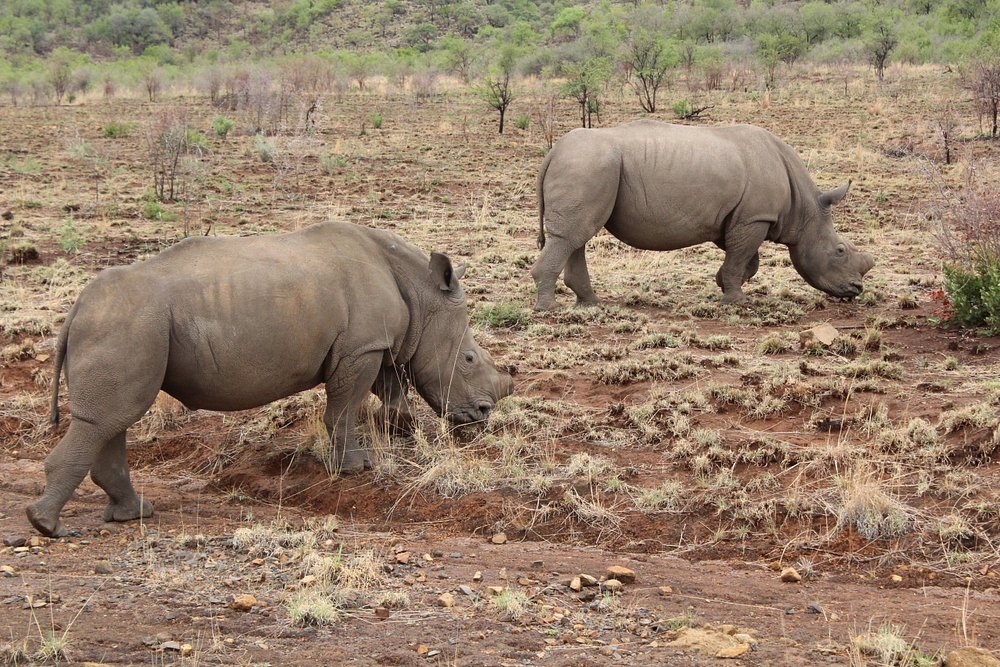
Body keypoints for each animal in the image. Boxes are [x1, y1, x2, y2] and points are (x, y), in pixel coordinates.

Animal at [27, 222, 514, 537]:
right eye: (469, 358)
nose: (483, 416)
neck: (420, 291)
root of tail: (75, 310)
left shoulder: (377, 346)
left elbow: (392, 392)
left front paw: (403, 438)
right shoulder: (361, 348)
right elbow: (344, 407)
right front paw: (356, 468)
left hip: (126, 324)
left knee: (112, 420)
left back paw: (133, 515)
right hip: (128, 322)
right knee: (109, 419)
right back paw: (48, 526)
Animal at [531, 120, 875, 309]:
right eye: (840, 251)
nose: (856, 290)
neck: (804, 208)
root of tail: (553, 152)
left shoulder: (738, 217)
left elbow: (745, 259)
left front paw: (723, 283)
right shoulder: (754, 217)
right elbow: (741, 258)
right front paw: (738, 301)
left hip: (586, 166)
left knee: (576, 236)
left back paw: (589, 304)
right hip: (588, 165)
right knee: (572, 236)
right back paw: (550, 309)